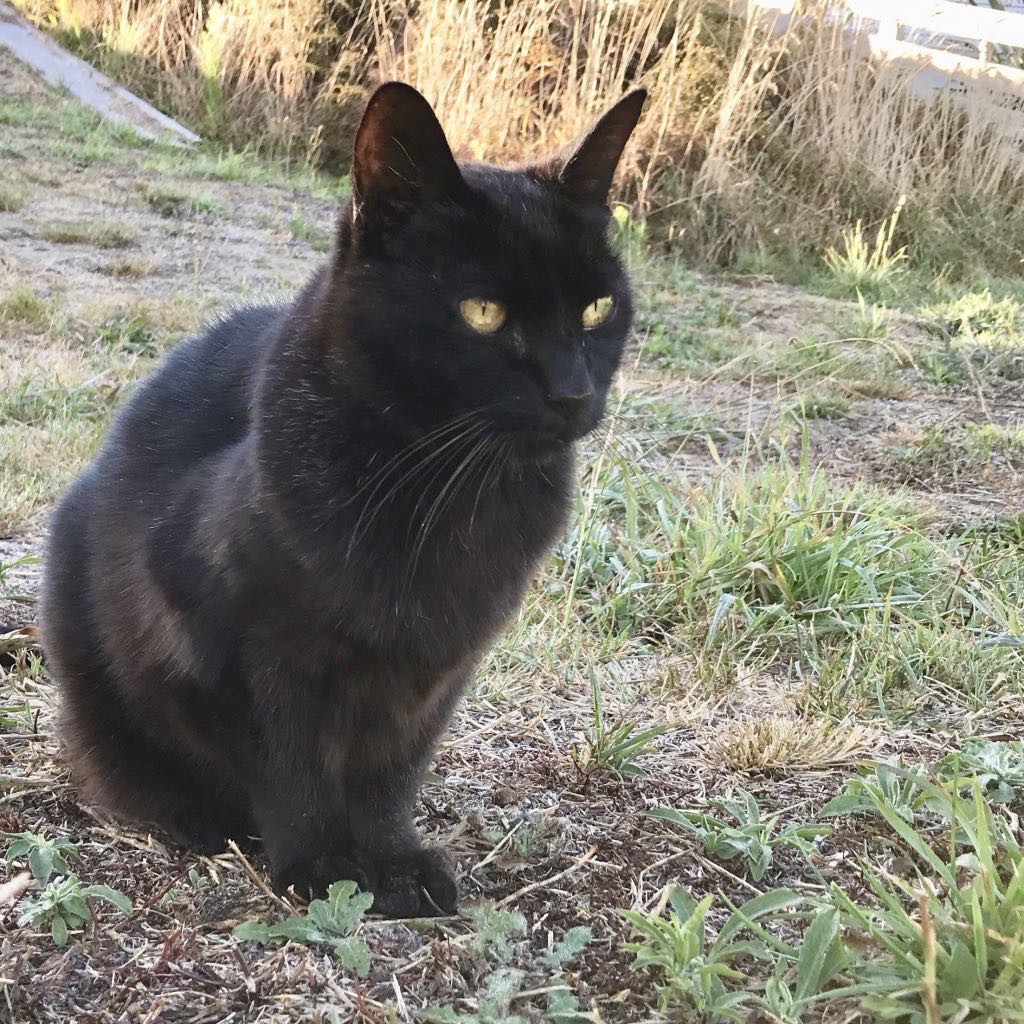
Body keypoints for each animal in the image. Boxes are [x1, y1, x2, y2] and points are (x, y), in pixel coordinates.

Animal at [46, 83, 647, 917]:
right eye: (483, 313)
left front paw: (395, 860)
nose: (571, 392)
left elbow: (388, 773)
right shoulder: (236, 649)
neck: (445, 488)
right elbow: (288, 764)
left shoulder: (436, 671)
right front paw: (324, 863)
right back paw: (196, 817)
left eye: (596, 309)